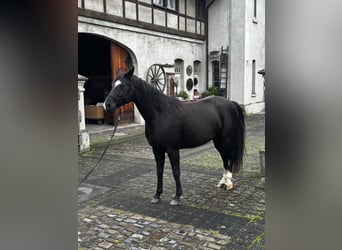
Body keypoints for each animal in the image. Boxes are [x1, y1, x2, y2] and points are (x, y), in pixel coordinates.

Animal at [103, 67, 244, 206]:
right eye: (113, 84)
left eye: (123, 85)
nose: (107, 105)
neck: (160, 113)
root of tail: (231, 103)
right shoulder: (157, 149)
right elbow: (159, 171)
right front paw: (157, 195)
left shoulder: (172, 149)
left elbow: (176, 172)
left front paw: (177, 197)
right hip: (218, 141)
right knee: (225, 159)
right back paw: (223, 182)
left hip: (226, 140)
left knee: (229, 158)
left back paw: (228, 183)